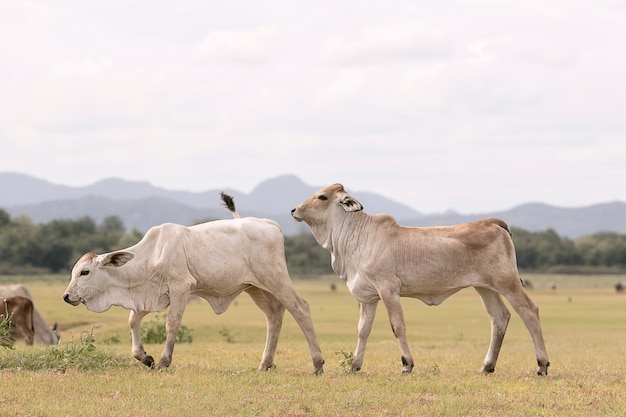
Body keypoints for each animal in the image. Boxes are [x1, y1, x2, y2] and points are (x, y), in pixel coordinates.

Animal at [63, 193, 324, 372]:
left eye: (85, 272)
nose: (66, 296)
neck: (151, 254)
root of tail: (271, 224)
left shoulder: (181, 288)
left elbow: (171, 324)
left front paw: (163, 362)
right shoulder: (154, 295)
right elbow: (132, 320)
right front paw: (145, 357)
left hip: (276, 279)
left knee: (300, 309)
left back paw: (317, 363)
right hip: (256, 287)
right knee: (274, 315)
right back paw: (265, 363)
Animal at [290, 184, 548, 376]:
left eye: (322, 196)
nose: (294, 210)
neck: (358, 237)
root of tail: (492, 222)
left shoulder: (388, 290)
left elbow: (398, 326)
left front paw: (407, 364)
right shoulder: (369, 297)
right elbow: (363, 330)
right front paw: (354, 365)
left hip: (508, 283)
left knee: (530, 311)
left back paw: (542, 364)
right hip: (485, 288)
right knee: (500, 318)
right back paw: (487, 366)